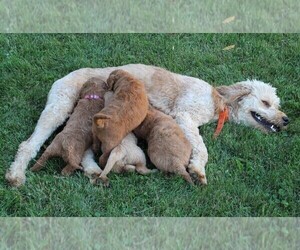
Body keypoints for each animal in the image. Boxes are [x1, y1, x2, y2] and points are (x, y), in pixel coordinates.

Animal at [6, 63, 288, 187]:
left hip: (83, 122)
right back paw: (16, 175)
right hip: (58, 109)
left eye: (277, 103)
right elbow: (201, 147)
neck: (217, 99)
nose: (286, 119)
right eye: (266, 102)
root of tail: (61, 77)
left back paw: (94, 171)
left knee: (86, 151)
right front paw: (198, 169)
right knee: (28, 145)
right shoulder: (184, 116)